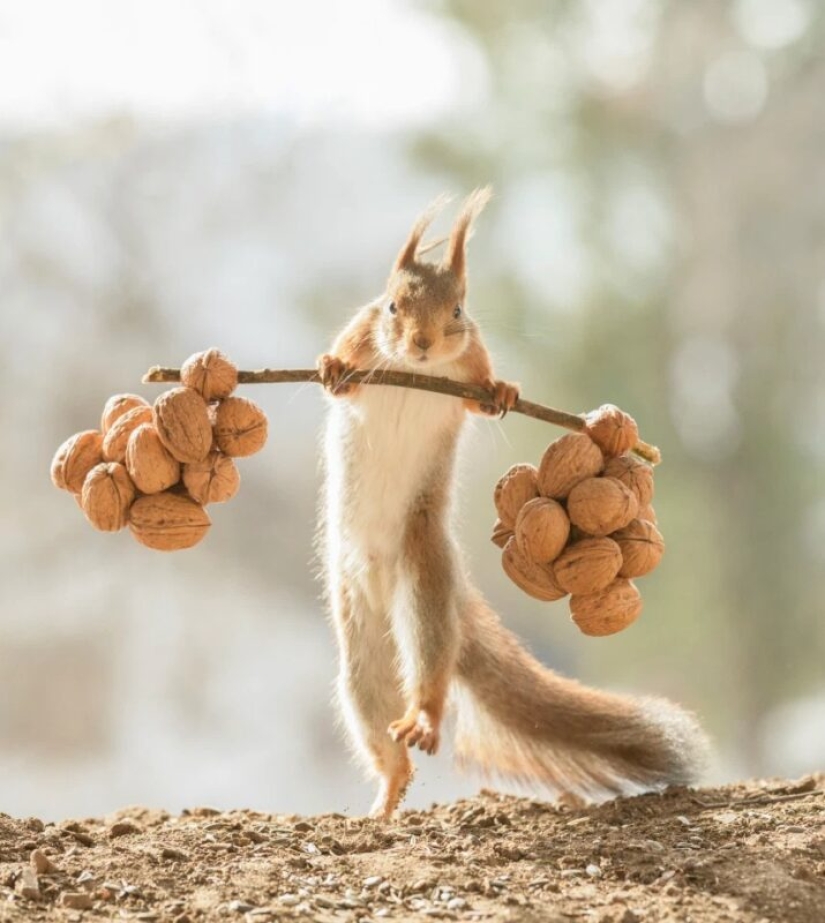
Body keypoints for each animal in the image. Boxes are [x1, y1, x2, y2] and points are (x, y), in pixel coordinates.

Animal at [316, 188, 708, 819]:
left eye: (458, 310)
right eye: (392, 305)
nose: (422, 343)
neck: (417, 372)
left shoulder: (469, 361)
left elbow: (479, 392)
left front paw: (503, 392)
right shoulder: (362, 335)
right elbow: (344, 371)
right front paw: (330, 368)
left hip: (423, 573)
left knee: (432, 664)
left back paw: (423, 721)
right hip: (358, 644)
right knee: (377, 715)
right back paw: (388, 791)